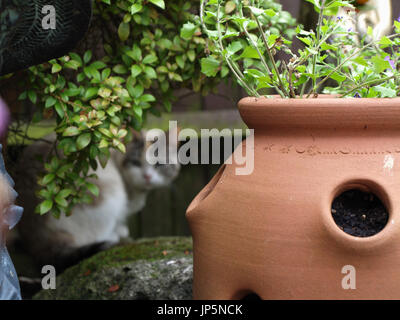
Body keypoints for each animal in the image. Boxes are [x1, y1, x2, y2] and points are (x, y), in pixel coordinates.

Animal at [14, 129, 180, 268]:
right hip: (111, 192)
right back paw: (113, 237)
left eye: (159, 164)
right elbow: (118, 222)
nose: (147, 176)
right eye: (136, 163)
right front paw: (121, 231)